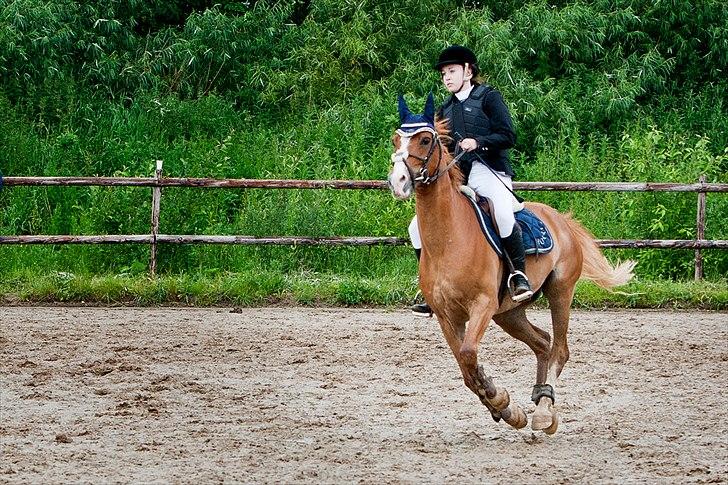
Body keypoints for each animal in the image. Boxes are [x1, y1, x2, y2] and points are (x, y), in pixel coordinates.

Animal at [386, 93, 632, 432]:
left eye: (424, 140)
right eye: (396, 139)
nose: (397, 181)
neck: (448, 239)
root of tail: (563, 221)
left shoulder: (482, 304)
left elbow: (468, 355)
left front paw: (499, 399)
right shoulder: (447, 316)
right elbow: (466, 367)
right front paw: (504, 408)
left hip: (560, 292)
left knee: (560, 350)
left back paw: (545, 411)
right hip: (509, 313)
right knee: (542, 343)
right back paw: (538, 400)